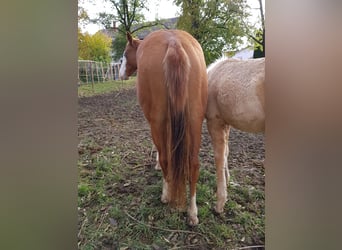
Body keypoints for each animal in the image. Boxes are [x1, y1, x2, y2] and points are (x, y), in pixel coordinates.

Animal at [119, 30, 207, 226]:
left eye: (124, 53)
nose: (120, 74)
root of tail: (173, 42)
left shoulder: (157, 121)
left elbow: (162, 150)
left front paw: (158, 165)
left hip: (158, 120)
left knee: (167, 158)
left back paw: (166, 195)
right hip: (195, 119)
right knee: (194, 164)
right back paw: (192, 212)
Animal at [206, 58, 264, 213]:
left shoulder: (215, 121)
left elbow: (219, 157)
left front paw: (220, 204)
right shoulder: (226, 123)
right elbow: (226, 151)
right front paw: (228, 181)